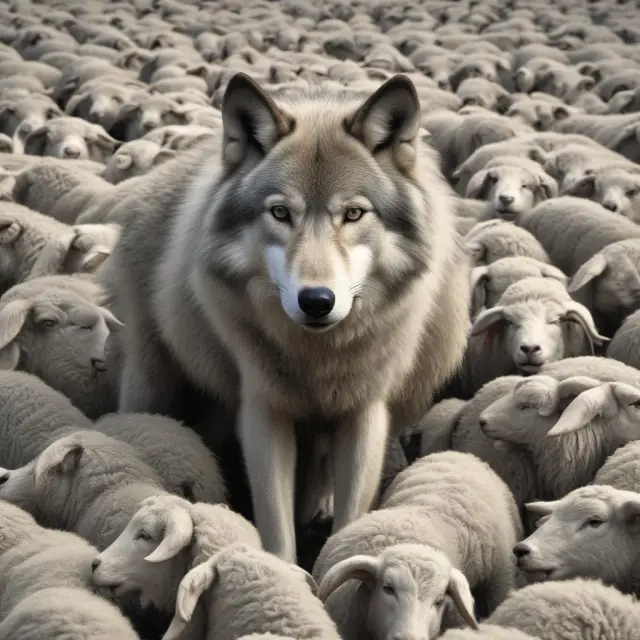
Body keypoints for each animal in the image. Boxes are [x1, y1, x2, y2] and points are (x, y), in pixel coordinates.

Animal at [105, 72, 471, 563]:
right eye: (280, 212)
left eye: (353, 213)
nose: (316, 300)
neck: (318, 356)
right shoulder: (264, 411)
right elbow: (276, 524)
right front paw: (283, 574)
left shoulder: (364, 414)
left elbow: (350, 514)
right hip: (152, 380)